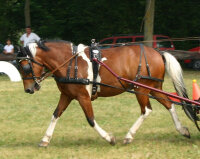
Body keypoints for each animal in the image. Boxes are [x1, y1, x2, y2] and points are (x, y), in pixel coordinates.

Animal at [17, 40, 191, 147]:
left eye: (25, 67)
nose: (29, 89)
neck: (70, 63)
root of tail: (157, 52)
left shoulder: (83, 96)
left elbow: (90, 119)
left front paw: (109, 138)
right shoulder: (67, 95)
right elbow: (55, 114)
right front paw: (45, 139)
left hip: (141, 89)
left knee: (146, 110)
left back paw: (129, 136)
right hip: (154, 88)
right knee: (169, 104)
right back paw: (182, 129)